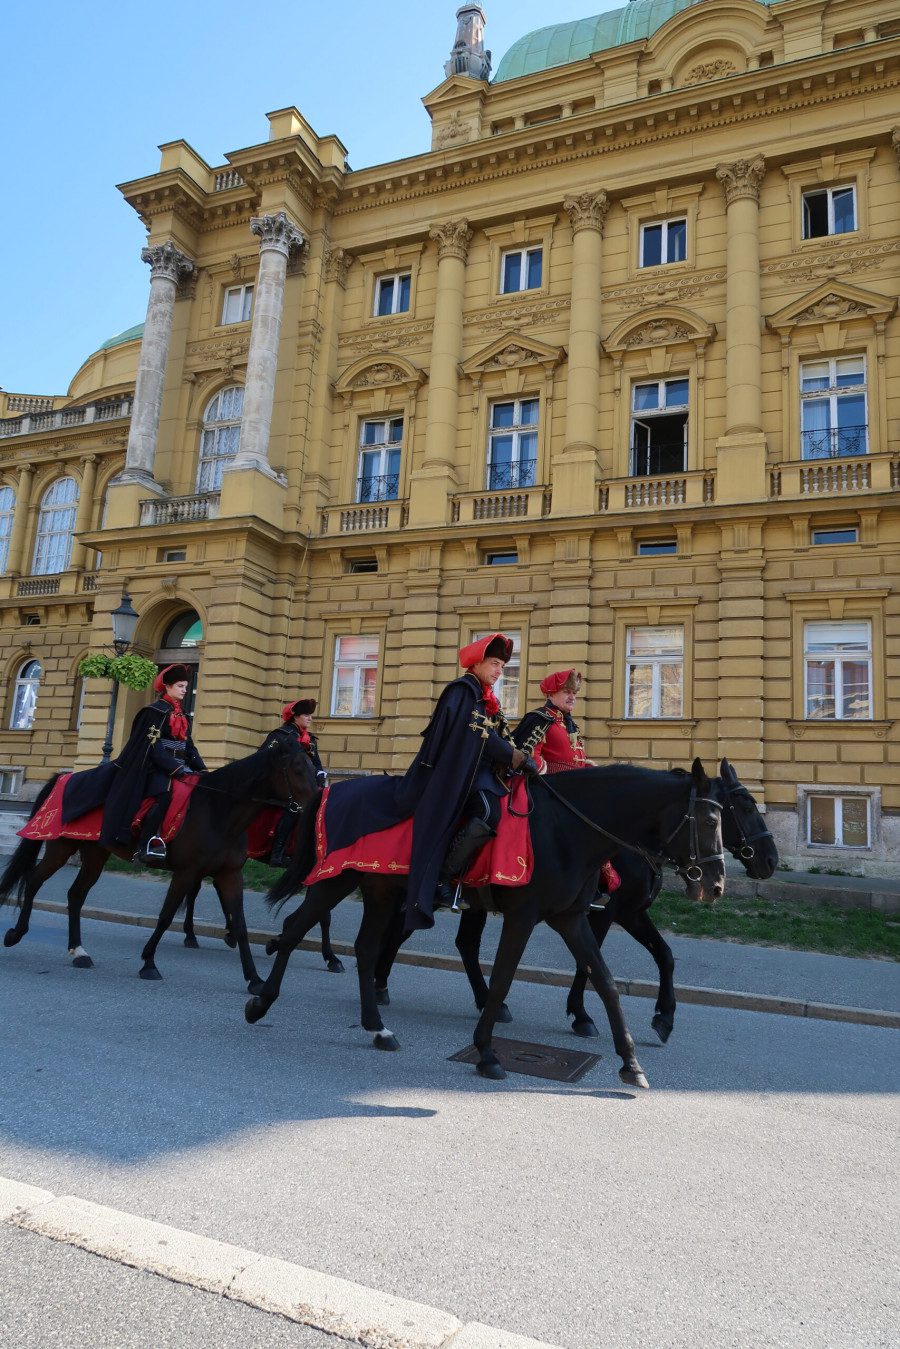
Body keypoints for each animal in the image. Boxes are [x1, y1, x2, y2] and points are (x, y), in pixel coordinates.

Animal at [0, 739, 318, 992]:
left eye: (315, 770)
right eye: (297, 769)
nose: (317, 804)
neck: (217, 809)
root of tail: (65, 778)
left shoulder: (230, 874)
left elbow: (240, 926)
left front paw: (254, 978)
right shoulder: (186, 872)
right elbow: (165, 917)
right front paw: (149, 963)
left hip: (95, 854)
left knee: (75, 895)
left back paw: (79, 952)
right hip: (61, 846)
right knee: (34, 879)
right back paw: (16, 933)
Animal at [249, 760, 728, 1084]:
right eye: (709, 819)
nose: (717, 884)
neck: (566, 830)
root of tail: (335, 789)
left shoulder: (572, 919)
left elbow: (606, 981)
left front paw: (630, 1061)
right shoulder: (524, 916)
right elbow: (501, 979)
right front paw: (487, 1052)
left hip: (380, 892)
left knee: (366, 950)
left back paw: (378, 1028)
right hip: (336, 880)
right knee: (293, 929)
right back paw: (261, 1001)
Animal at [383, 760, 777, 1041]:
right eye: (741, 806)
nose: (771, 860)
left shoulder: (630, 913)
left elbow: (663, 955)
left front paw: (664, 1017)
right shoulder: (603, 913)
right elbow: (587, 965)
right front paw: (582, 1015)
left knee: (458, 941)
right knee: (403, 931)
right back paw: (381, 985)